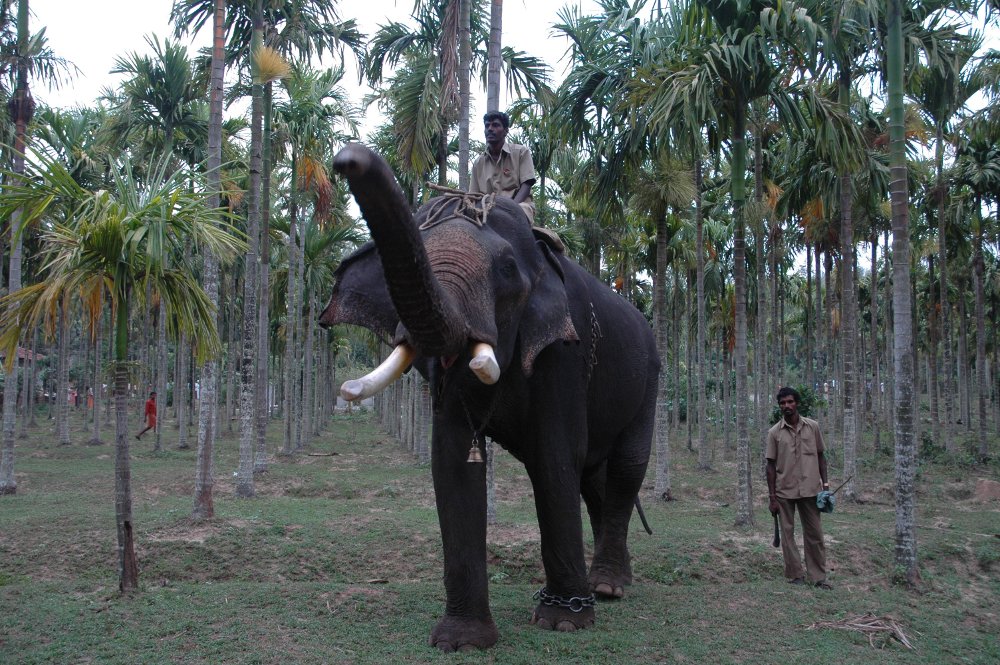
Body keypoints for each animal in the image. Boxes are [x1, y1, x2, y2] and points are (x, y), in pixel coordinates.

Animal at [320, 144, 660, 648]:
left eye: (505, 270)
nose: (348, 158)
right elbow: (452, 460)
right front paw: (461, 640)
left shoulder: (565, 349)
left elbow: (555, 456)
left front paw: (563, 622)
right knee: (595, 479)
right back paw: (611, 583)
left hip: (651, 379)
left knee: (625, 468)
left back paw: (606, 588)